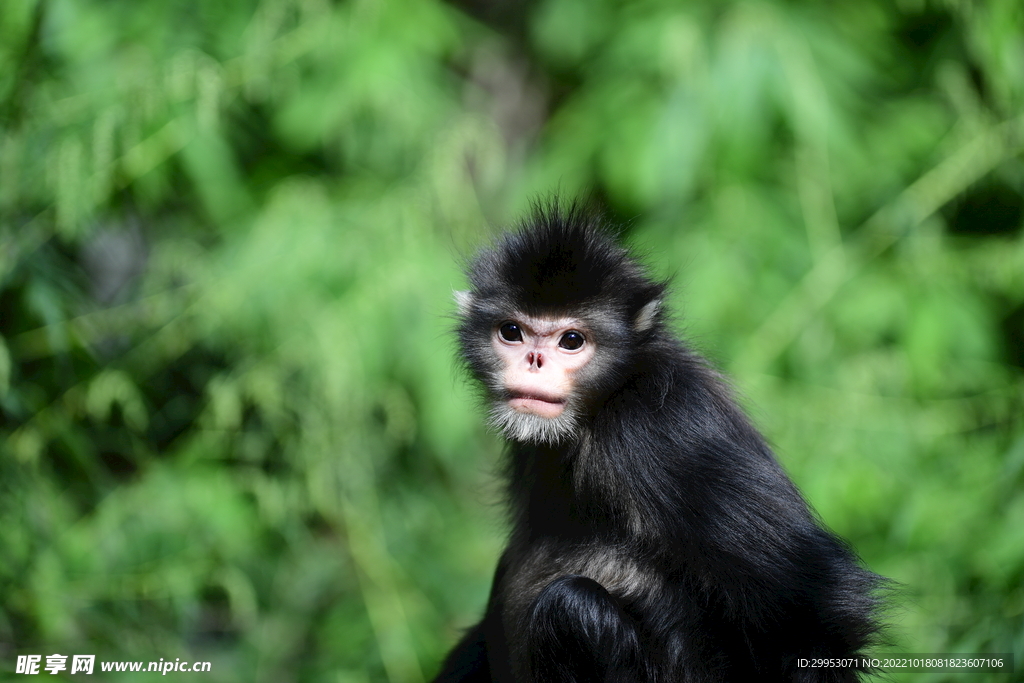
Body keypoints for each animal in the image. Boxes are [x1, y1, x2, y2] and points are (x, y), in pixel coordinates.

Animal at [436, 201, 884, 683]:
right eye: (512, 332)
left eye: (571, 340)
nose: (534, 361)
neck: (607, 401)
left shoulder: (652, 428)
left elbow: (821, 610)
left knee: (573, 606)